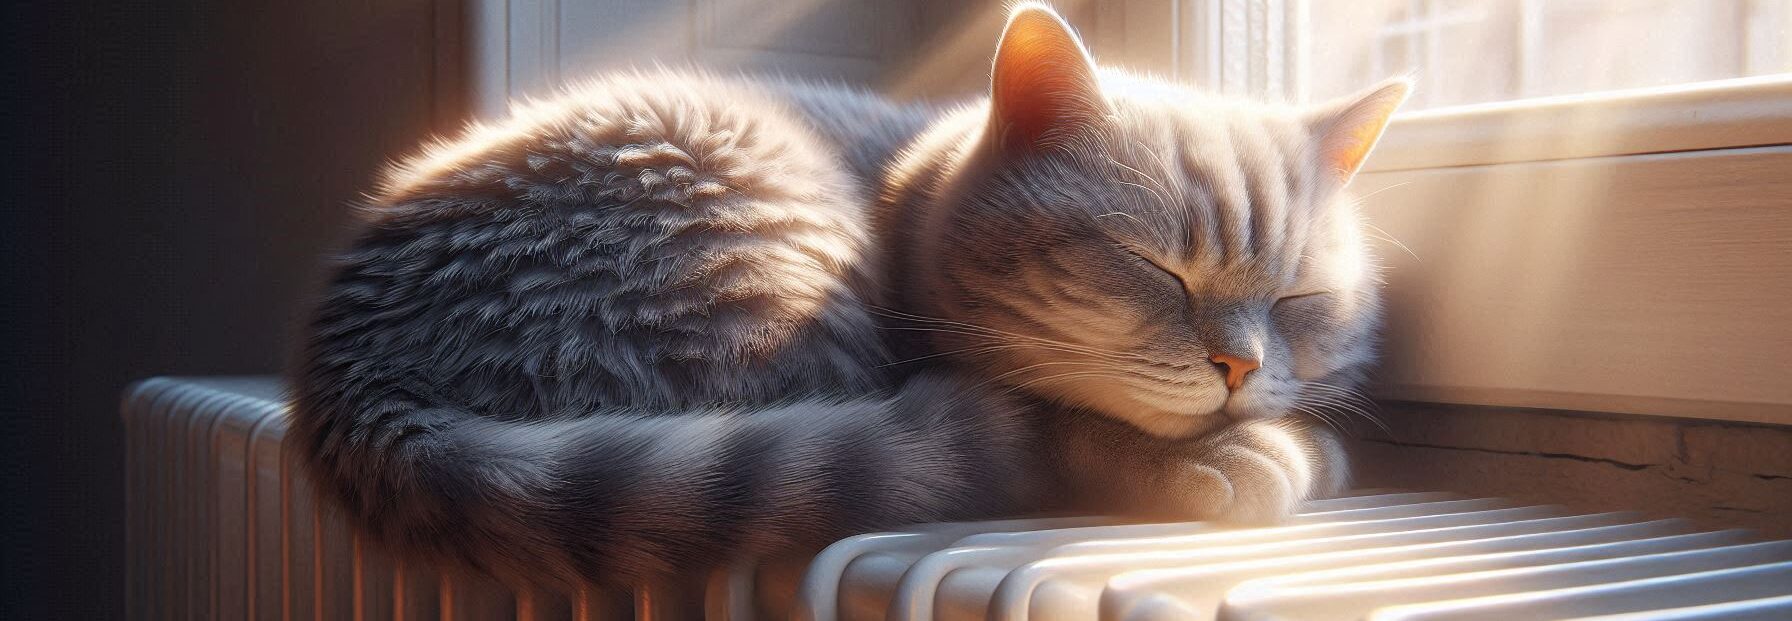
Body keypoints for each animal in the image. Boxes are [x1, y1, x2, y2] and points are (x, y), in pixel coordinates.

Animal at [286, 1, 1404, 594]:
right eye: (1155, 267)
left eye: (1300, 299)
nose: (1240, 366)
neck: (917, 186)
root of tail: (355, 367)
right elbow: (1078, 427)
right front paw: (1242, 456)